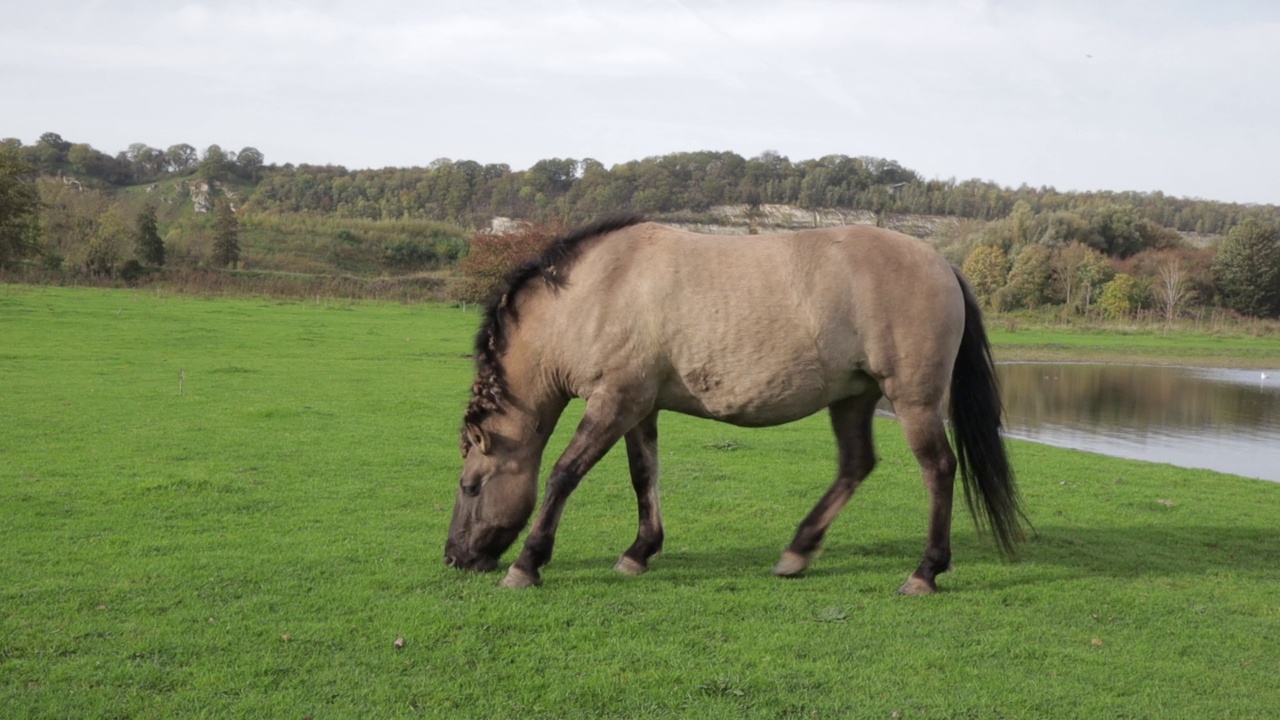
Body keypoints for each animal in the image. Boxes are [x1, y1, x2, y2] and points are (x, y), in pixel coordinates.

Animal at [445, 213, 1024, 594]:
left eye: (471, 486)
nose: (454, 557)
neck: (596, 291)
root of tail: (943, 264)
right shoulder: (639, 407)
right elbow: (644, 476)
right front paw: (639, 552)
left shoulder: (614, 402)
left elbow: (564, 474)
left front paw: (528, 563)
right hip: (855, 397)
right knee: (856, 464)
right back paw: (797, 552)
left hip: (914, 399)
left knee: (938, 468)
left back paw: (925, 572)